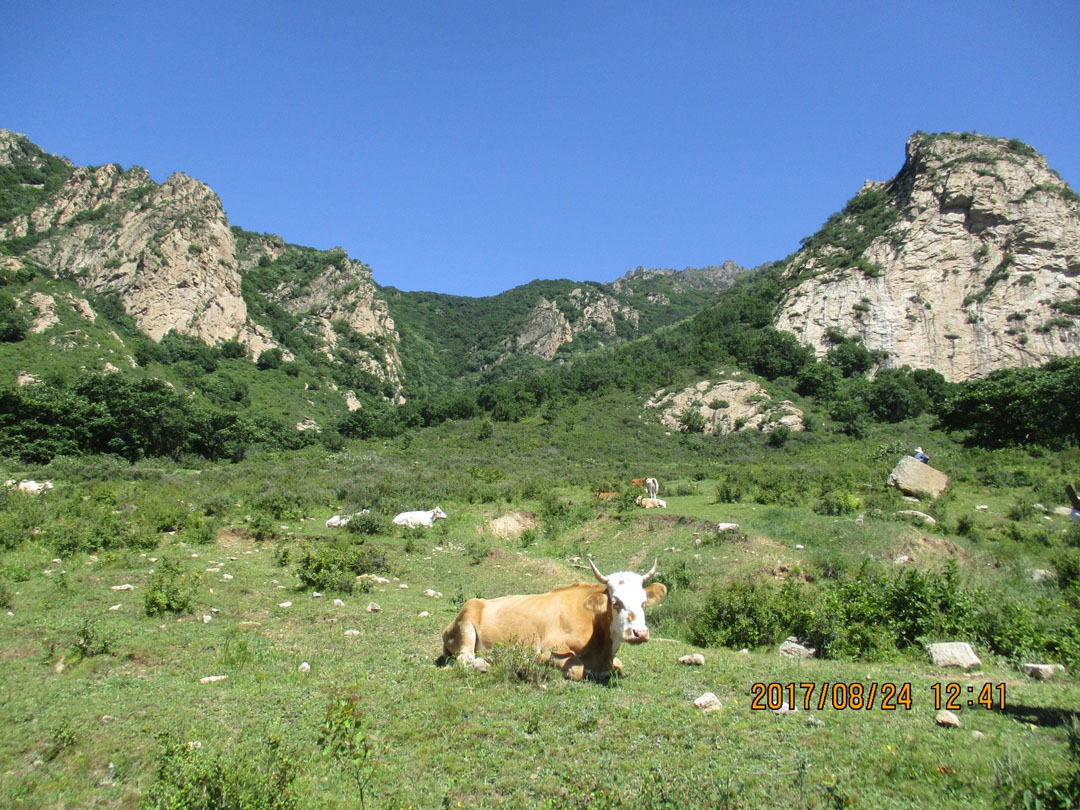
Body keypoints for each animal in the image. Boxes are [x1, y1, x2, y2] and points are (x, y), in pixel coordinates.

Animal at [438, 557, 665, 682]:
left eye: (644, 602)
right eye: (616, 602)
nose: (640, 633)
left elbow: (619, 665)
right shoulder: (548, 648)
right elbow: (576, 669)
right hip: (467, 622)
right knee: (464, 657)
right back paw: (482, 664)